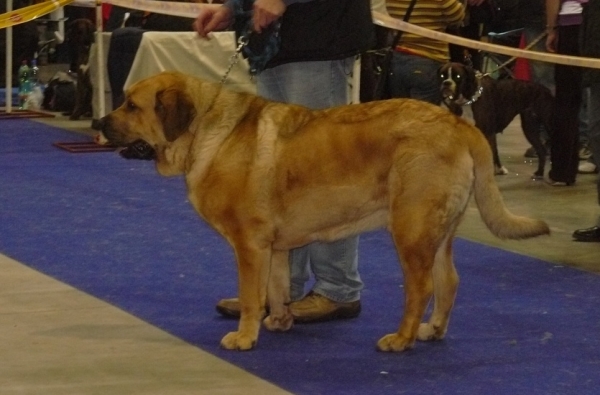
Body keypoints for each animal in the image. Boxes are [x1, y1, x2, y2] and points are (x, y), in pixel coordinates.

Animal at [101, 71, 552, 352]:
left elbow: (251, 295)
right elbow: (277, 287)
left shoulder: (249, 245)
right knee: (449, 281)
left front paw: (244, 336)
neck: (205, 133)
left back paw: (400, 339)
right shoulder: (275, 247)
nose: (101, 122)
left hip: (411, 229)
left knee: (420, 288)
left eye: (131, 105)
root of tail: (460, 124)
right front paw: (279, 321)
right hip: (438, 232)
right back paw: (433, 330)